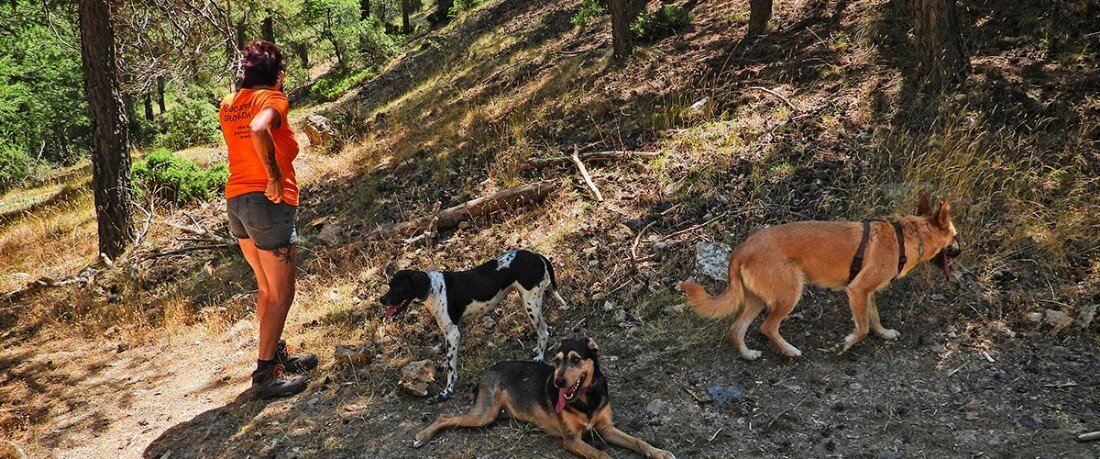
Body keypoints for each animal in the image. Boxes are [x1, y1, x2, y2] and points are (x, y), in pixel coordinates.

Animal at [379, 249, 568, 403]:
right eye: (390, 285)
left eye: (399, 287)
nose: (381, 299)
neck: (433, 288)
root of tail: (536, 255)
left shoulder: (453, 333)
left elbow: (451, 369)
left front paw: (447, 392)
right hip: (527, 300)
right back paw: (537, 350)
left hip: (531, 304)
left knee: (544, 331)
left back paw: (540, 357)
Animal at [413, 337, 676, 459]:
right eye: (556, 361)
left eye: (575, 359)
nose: (557, 382)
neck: (586, 400)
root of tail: (489, 369)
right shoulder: (571, 440)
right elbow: (603, 454)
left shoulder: (607, 428)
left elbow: (638, 441)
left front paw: (659, 452)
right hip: (483, 414)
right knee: (444, 416)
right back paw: (421, 436)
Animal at [680, 193, 961, 359]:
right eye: (955, 236)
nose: (961, 252)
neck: (905, 238)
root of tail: (741, 249)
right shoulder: (857, 291)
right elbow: (862, 327)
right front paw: (846, 344)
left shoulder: (867, 293)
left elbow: (874, 319)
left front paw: (884, 333)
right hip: (789, 295)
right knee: (767, 326)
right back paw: (790, 351)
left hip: (756, 300)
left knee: (737, 328)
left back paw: (748, 354)